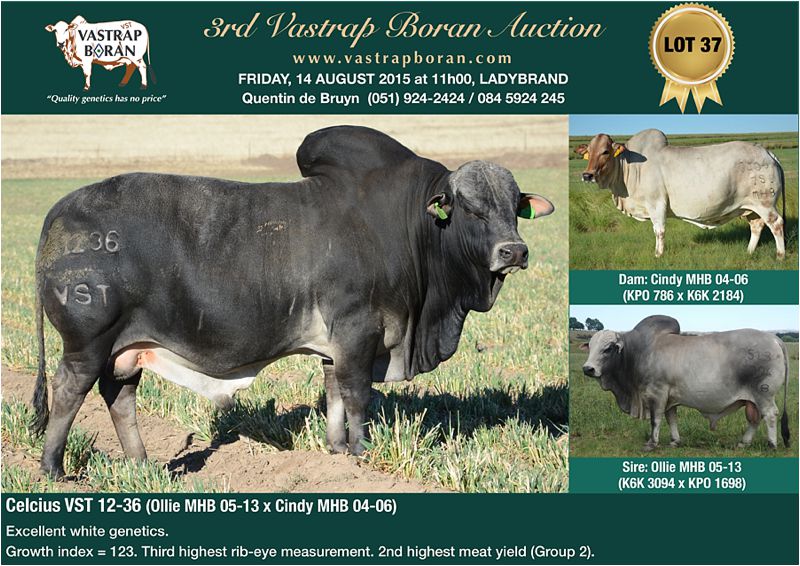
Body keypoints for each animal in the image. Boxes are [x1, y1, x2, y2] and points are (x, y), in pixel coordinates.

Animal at [31, 125, 556, 478]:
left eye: (515, 208)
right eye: (469, 207)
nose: (514, 251)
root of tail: (59, 210)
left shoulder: (335, 347)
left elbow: (335, 395)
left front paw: (337, 452)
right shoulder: (357, 331)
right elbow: (358, 395)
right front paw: (361, 455)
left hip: (125, 350)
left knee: (118, 395)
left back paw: (141, 465)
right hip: (88, 342)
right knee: (69, 392)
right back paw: (54, 469)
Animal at [574, 129, 785, 259]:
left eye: (605, 151)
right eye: (589, 151)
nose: (587, 175)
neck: (630, 168)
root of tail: (766, 152)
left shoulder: (656, 203)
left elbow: (659, 230)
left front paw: (658, 255)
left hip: (765, 203)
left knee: (776, 224)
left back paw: (780, 255)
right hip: (750, 207)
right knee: (757, 226)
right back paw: (749, 252)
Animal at [580, 315, 790, 451]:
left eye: (608, 348)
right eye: (590, 346)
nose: (588, 369)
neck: (639, 352)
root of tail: (774, 338)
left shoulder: (656, 394)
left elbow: (655, 420)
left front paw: (651, 444)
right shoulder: (670, 398)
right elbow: (671, 419)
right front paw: (675, 441)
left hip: (763, 393)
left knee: (770, 415)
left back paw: (772, 445)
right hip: (752, 399)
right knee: (755, 419)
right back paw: (743, 443)